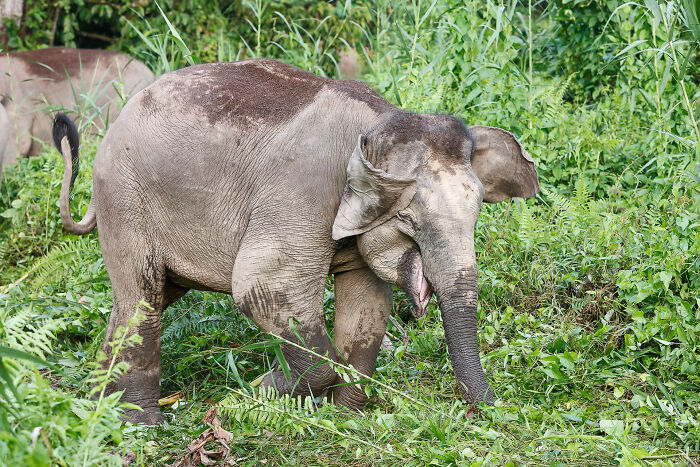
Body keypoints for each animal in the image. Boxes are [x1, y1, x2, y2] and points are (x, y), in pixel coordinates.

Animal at [53, 58, 539, 424]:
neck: (377, 124)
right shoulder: (303, 190)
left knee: (143, 298)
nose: (492, 412)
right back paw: (139, 423)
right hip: (125, 198)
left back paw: (99, 408)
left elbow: (368, 306)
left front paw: (343, 416)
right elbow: (262, 285)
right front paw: (252, 394)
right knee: (143, 296)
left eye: (477, 213)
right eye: (408, 218)